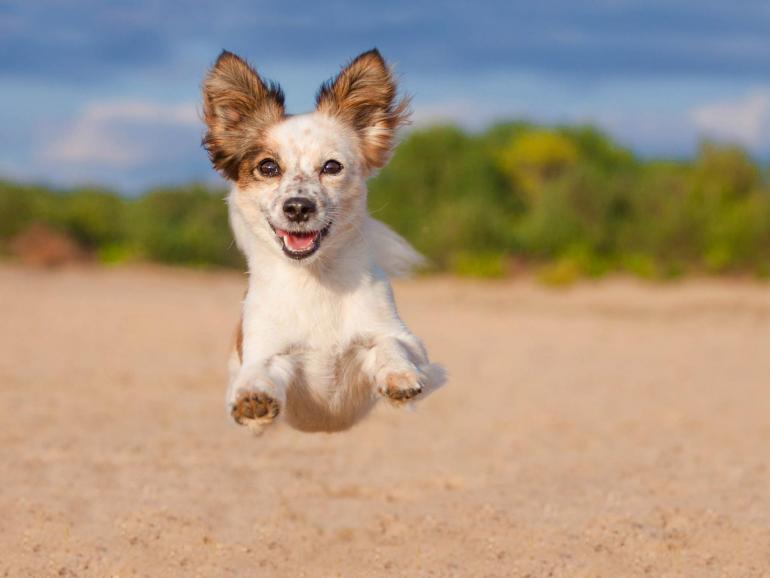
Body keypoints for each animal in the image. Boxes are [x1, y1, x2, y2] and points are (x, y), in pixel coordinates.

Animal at [201, 49, 448, 430]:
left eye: (332, 167)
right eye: (268, 168)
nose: (298, 207)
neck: (315, 280)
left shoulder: (406, 341)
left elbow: (389, 345)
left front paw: (399, 375)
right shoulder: (269, 352)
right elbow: (259, 370)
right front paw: (252, 395)